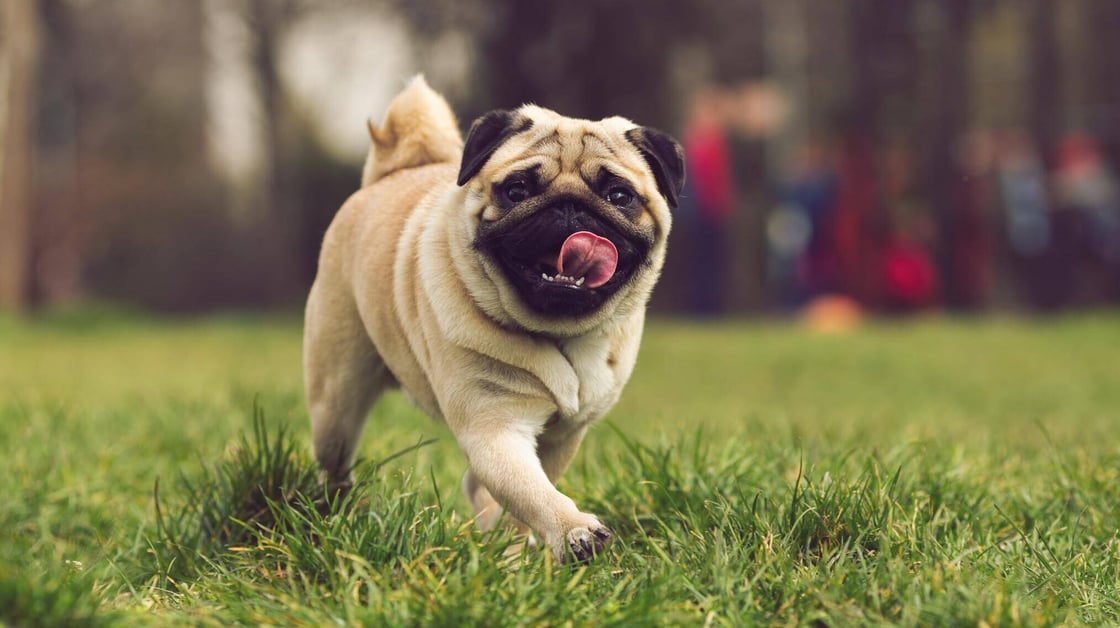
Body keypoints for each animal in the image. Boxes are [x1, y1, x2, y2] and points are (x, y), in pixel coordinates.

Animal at [302, 76, 680, 559]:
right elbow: (531, 490)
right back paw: (334, 513)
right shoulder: (494, 428)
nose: (571, 207)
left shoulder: (561, 437)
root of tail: (390, 172)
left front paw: (517, 548)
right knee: (335, 459)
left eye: (619, 196)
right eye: (517, 190)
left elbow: (525, 494)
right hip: (335, 400)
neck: (557, 332)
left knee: (477, 488)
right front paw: (573, 530)